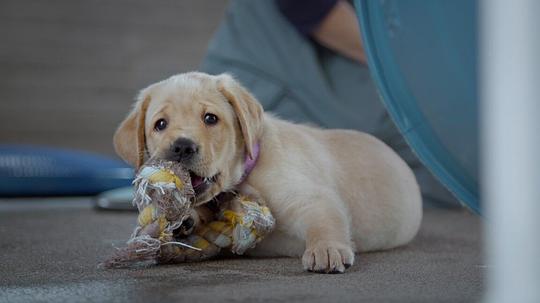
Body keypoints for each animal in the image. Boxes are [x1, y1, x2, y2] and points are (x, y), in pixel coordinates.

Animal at [114, 72, 422, 274]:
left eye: (210, 119)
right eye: (160, 124)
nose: (181, 146)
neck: (243, 177)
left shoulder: (308, 197)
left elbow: (325, 220)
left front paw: (326, 248)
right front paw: (184, 220)